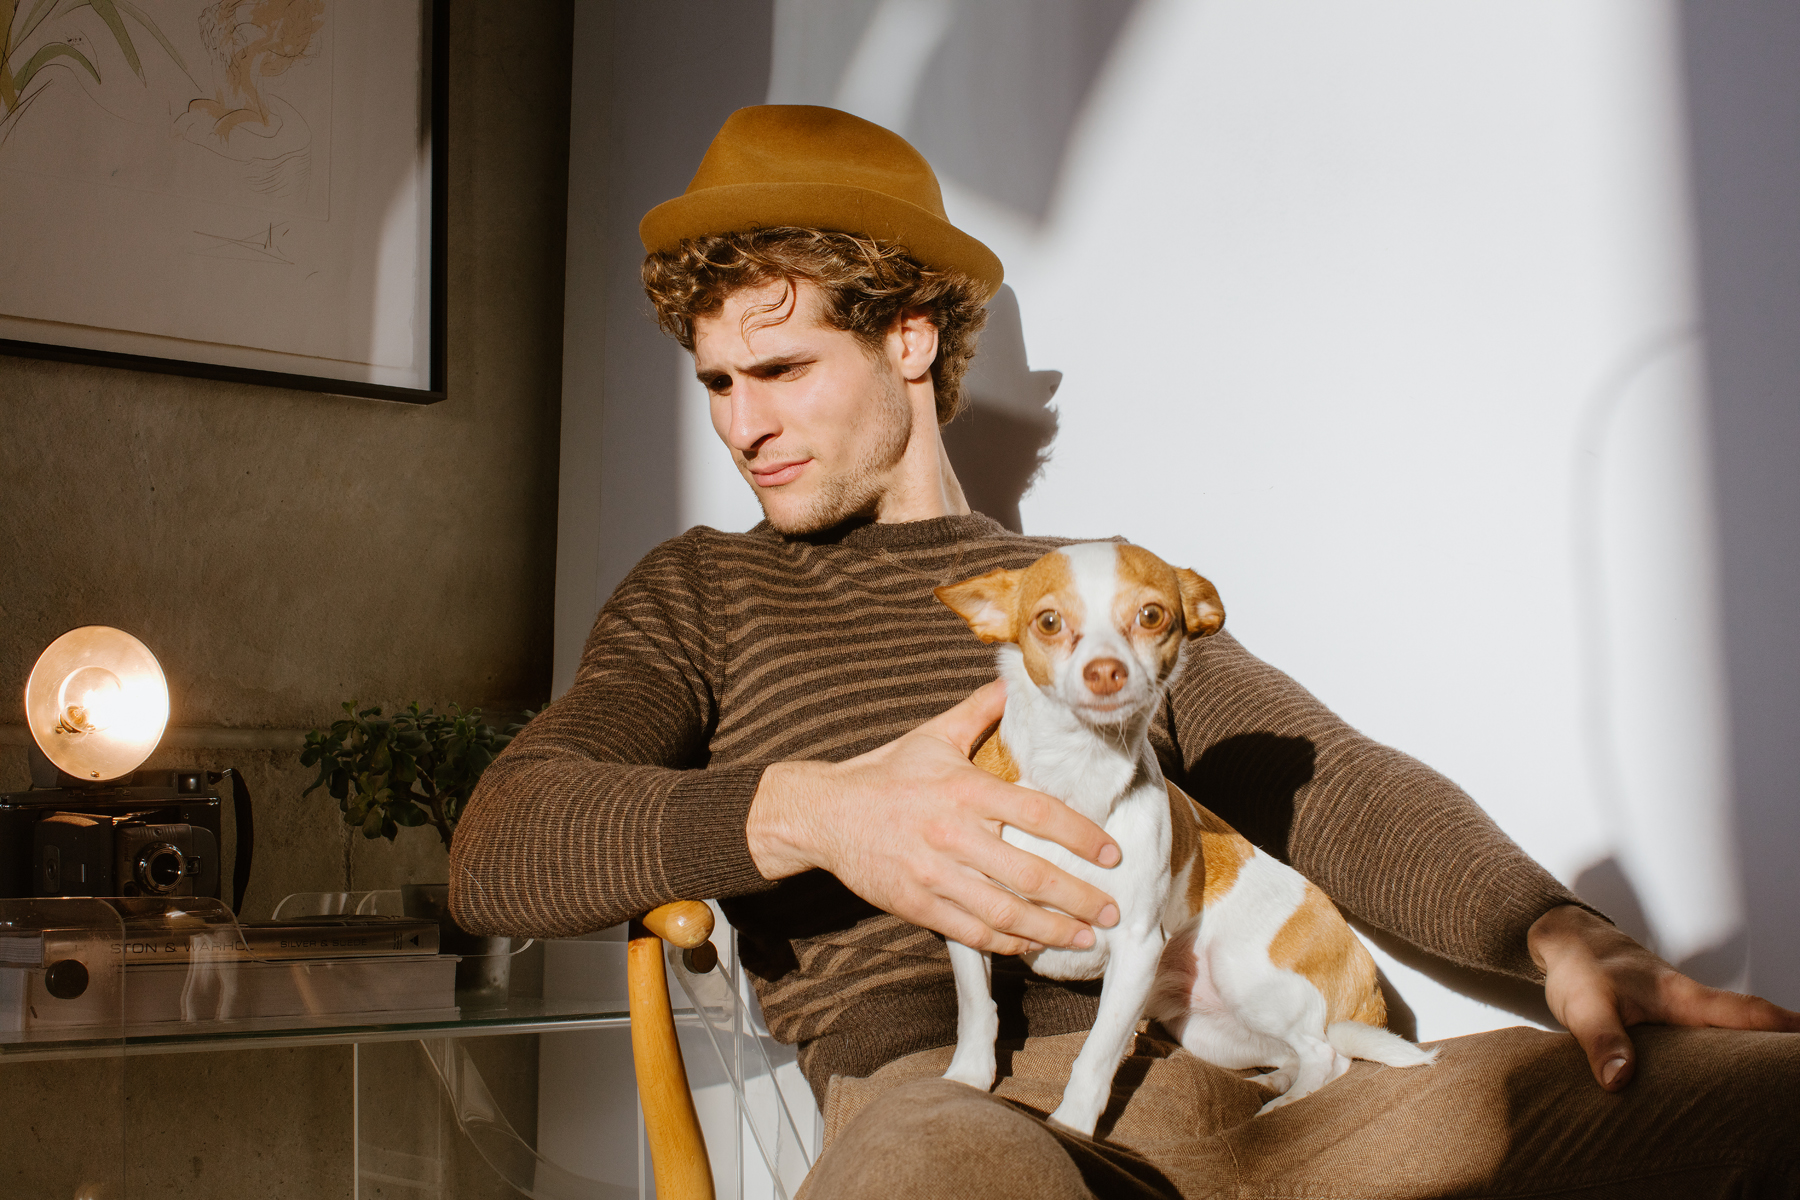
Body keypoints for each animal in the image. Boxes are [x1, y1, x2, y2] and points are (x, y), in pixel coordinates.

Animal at [933, 541, 1434, 1136]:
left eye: (1151, 615)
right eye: (1048, 622)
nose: (1106, 671)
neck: (1077, 777)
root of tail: (1366, 982)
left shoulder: (1135, 950)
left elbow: (1096, 1056)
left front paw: (1073, 1128)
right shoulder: (970, 920)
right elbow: (976, 1010)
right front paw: (966, 1082)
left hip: (1245, 974)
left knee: (1327, 1055)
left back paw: (1283, 1107)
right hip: (1205, 1030)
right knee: (1294, 1053)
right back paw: (1277, 1083)